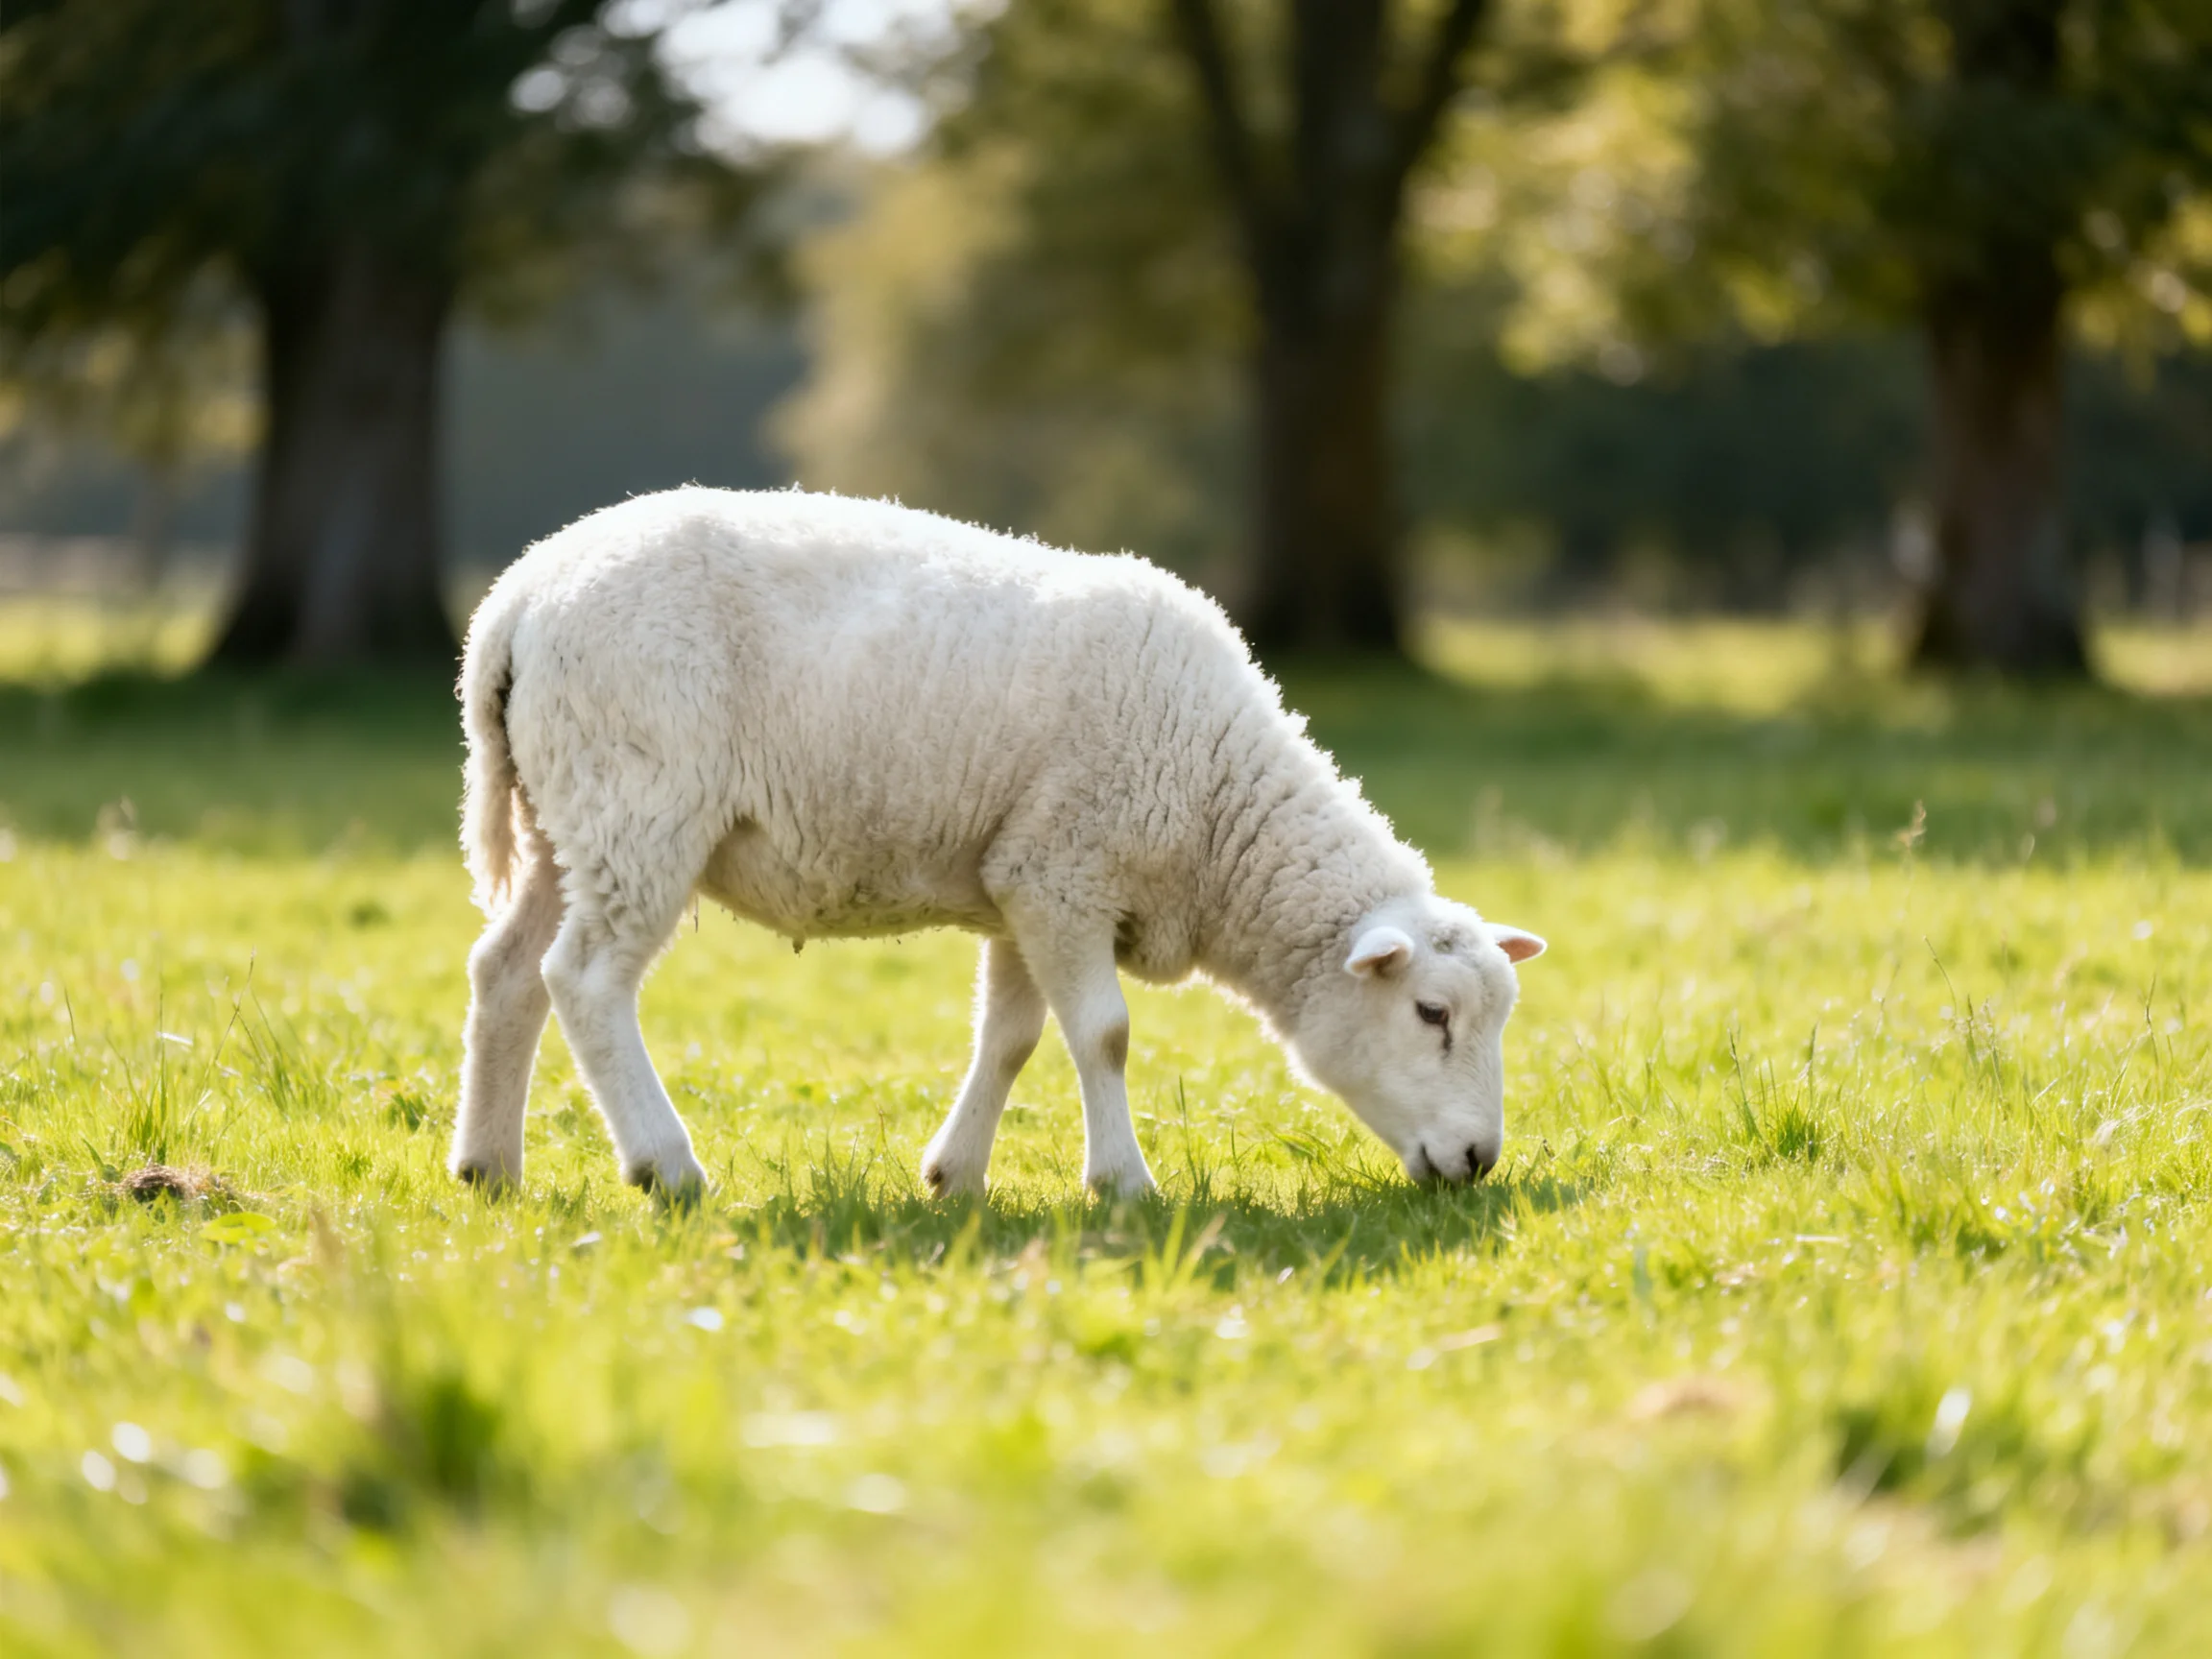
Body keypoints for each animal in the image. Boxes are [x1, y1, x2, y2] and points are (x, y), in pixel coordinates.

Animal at [451, 487, 1547, 1200]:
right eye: (1433, 1014)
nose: (1479, 1163)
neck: (1217, 807)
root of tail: (517, 600)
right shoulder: (1067, 872)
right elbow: (1103, 1033)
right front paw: (1124, 1185)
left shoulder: (1022, 882)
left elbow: (1011, 1038)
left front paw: (956, 1177)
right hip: (638, 802)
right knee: (585, 979)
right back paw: (666, 1167)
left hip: (566, 814)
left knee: (506, 970)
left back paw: (488, 1168)